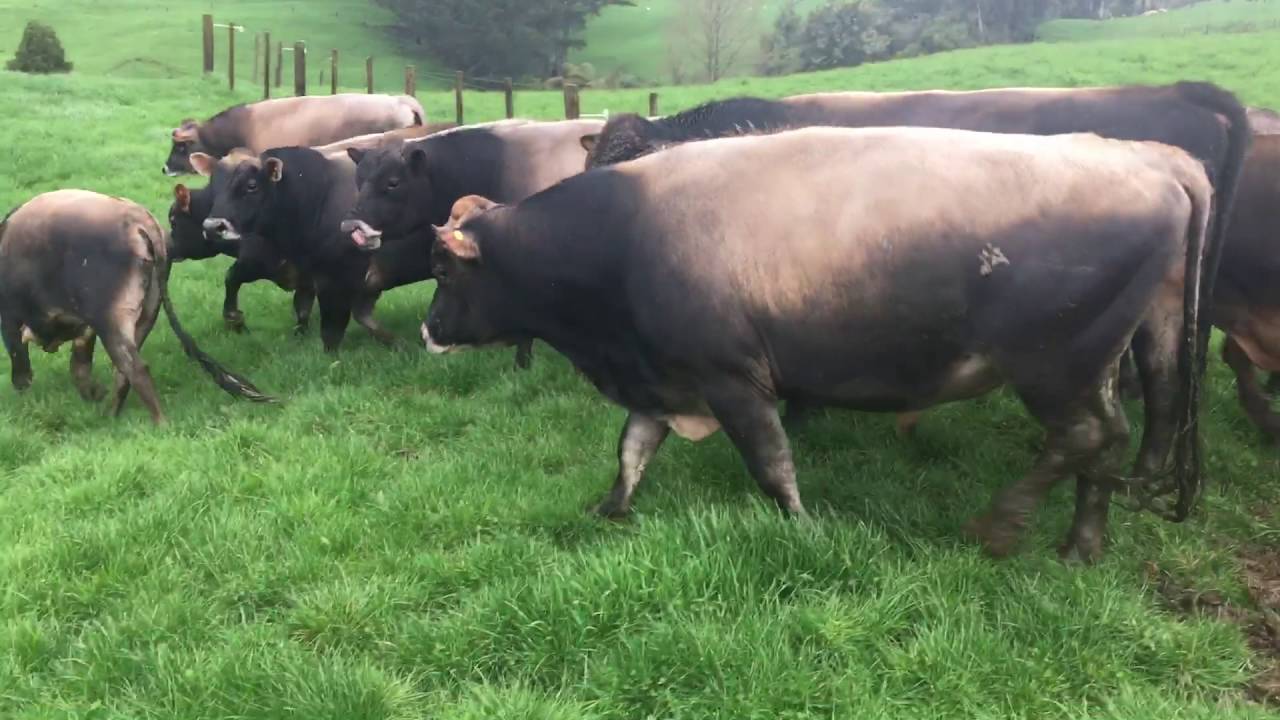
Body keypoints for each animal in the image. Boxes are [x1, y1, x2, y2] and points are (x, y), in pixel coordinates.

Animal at [0, 190, 273, 423]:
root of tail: (140, 221)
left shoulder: (11, 320)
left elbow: (21, 372)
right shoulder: (85, 329)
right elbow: (79, 368)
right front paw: (94, 393)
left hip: (111, 321)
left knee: (135, 369)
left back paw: (160, 424)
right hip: (145, 314)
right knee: (123, 373)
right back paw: (111, 415)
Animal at [421, 127, 1213, 563]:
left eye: (442, 271)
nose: (428, 330)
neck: (622, 235)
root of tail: (1153, 164)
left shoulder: (732, 380)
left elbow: (771, 465)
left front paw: (804, 529)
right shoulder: (663, 371)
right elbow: (633, 448)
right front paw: (610, 508)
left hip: (1056, 366)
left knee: (1084, 437)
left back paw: (1000, 523)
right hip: (1098, 363)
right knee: (1107, 442)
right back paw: (1082, 543)